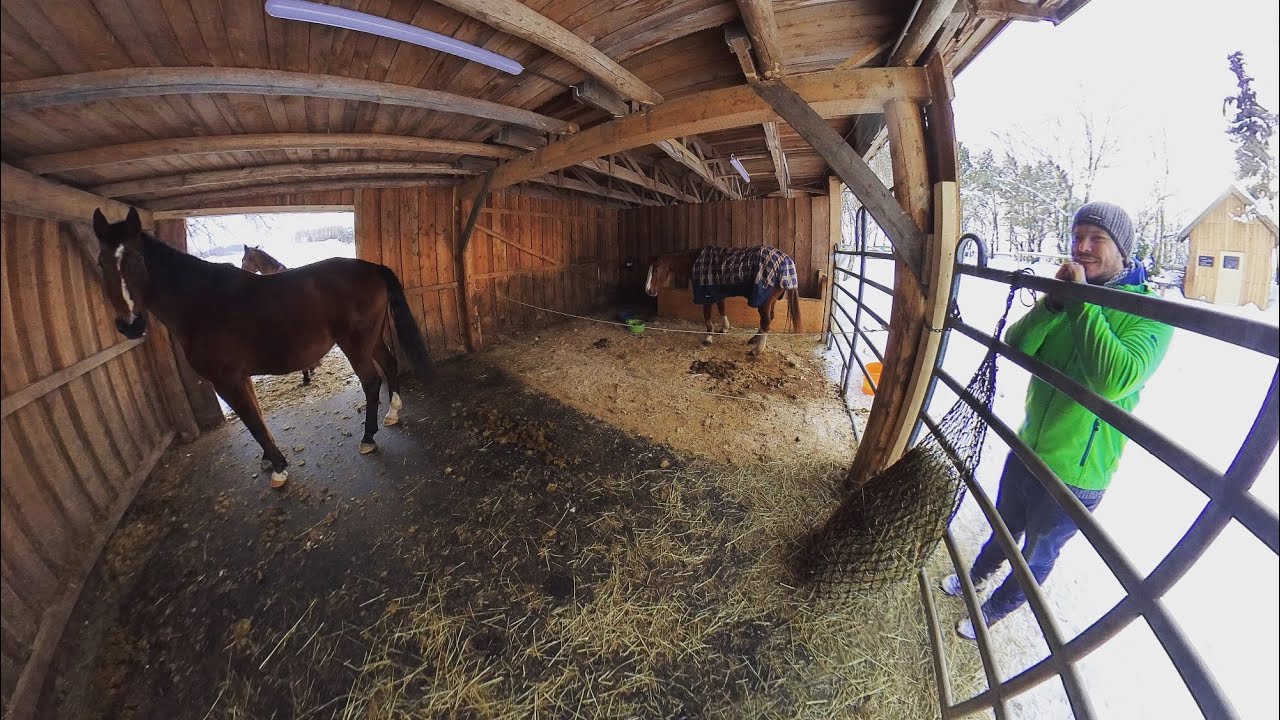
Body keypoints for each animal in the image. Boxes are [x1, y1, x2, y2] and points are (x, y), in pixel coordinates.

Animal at [645, 245, 801, 355]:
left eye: (656, 270)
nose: (648, 291)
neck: (697, 261)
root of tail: (787, 260)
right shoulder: (718, 292)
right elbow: (722, 309)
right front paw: (724, 328)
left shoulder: (706, 295)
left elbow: (707, 315)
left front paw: (708, 337)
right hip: (770, 301)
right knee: (768, 319)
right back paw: (754, 340)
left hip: (764, 300)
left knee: (766, 321)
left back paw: (757, 350)